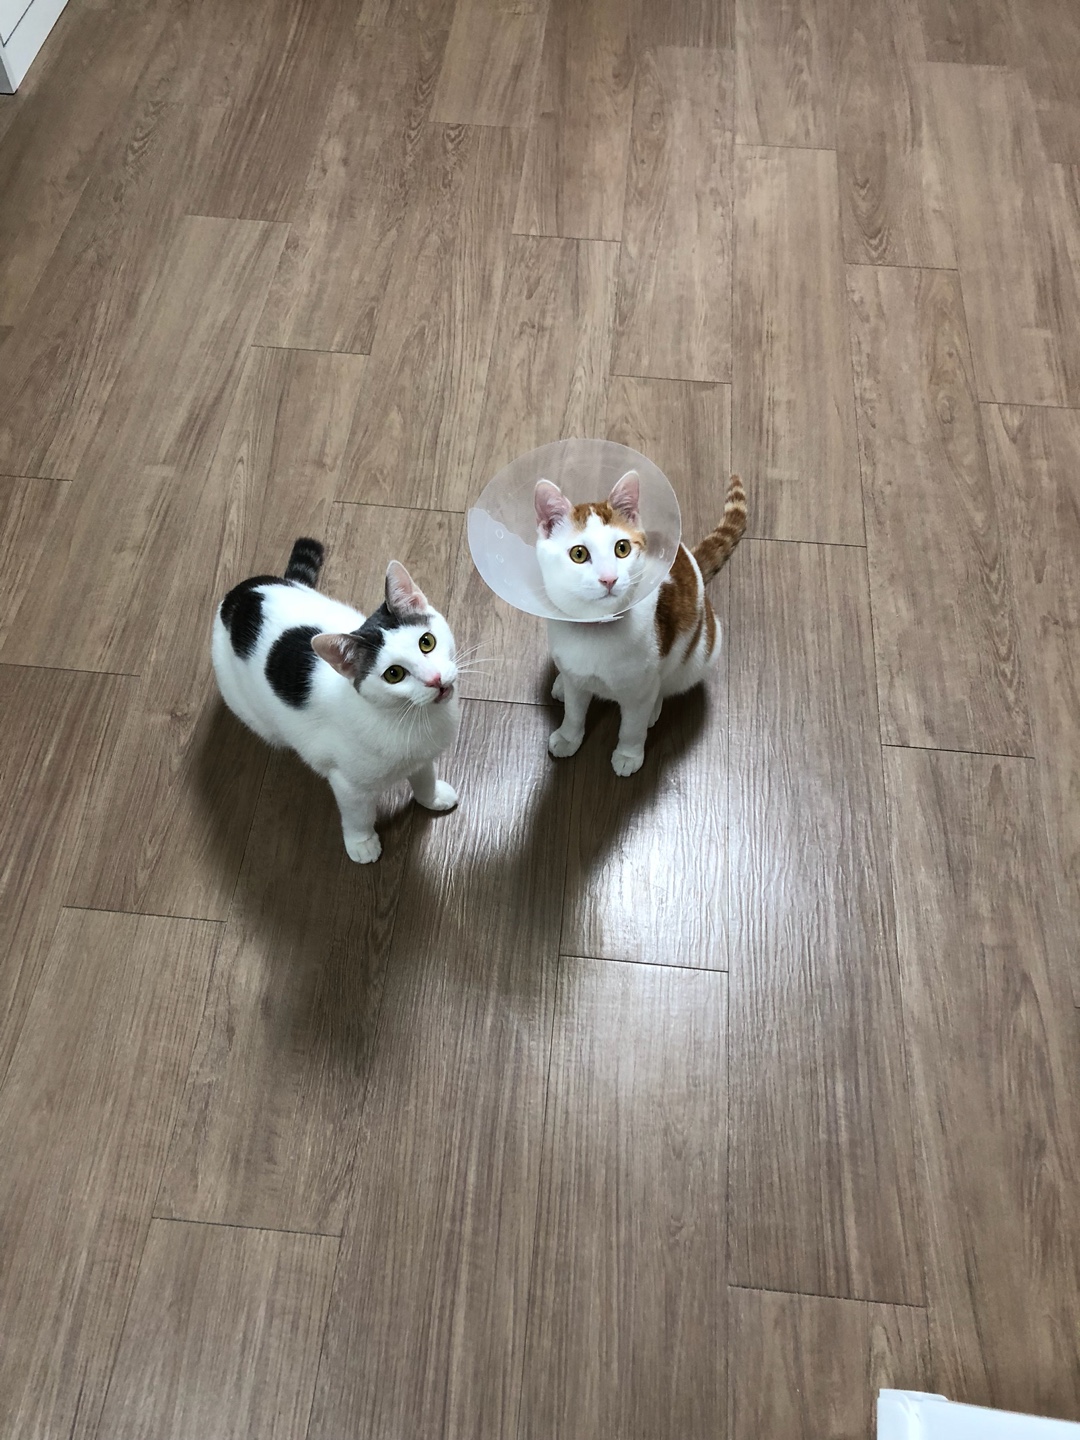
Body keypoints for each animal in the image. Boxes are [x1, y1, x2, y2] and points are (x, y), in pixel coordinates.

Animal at [212, 538, 460, 863]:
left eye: (426, 642)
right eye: (394, 674)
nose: (435, 680)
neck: (411, 717)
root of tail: (241, 593)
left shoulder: (421, 757)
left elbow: (424, 778)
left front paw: (432, 797)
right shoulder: (347, 783)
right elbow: (358, 815)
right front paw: (361, 842)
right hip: (250, 711)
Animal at [535, 469, 747, 776]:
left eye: (622, 549)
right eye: (579, 554)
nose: (609, 579)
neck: (596, 633)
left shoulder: (639, 687)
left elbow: (632, 726)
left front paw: (628, 754)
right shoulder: (577, 673)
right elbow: (574, 711)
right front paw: (567, 736)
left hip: (701, 652)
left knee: (666, 683)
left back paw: (654, 708)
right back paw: (562, 684)